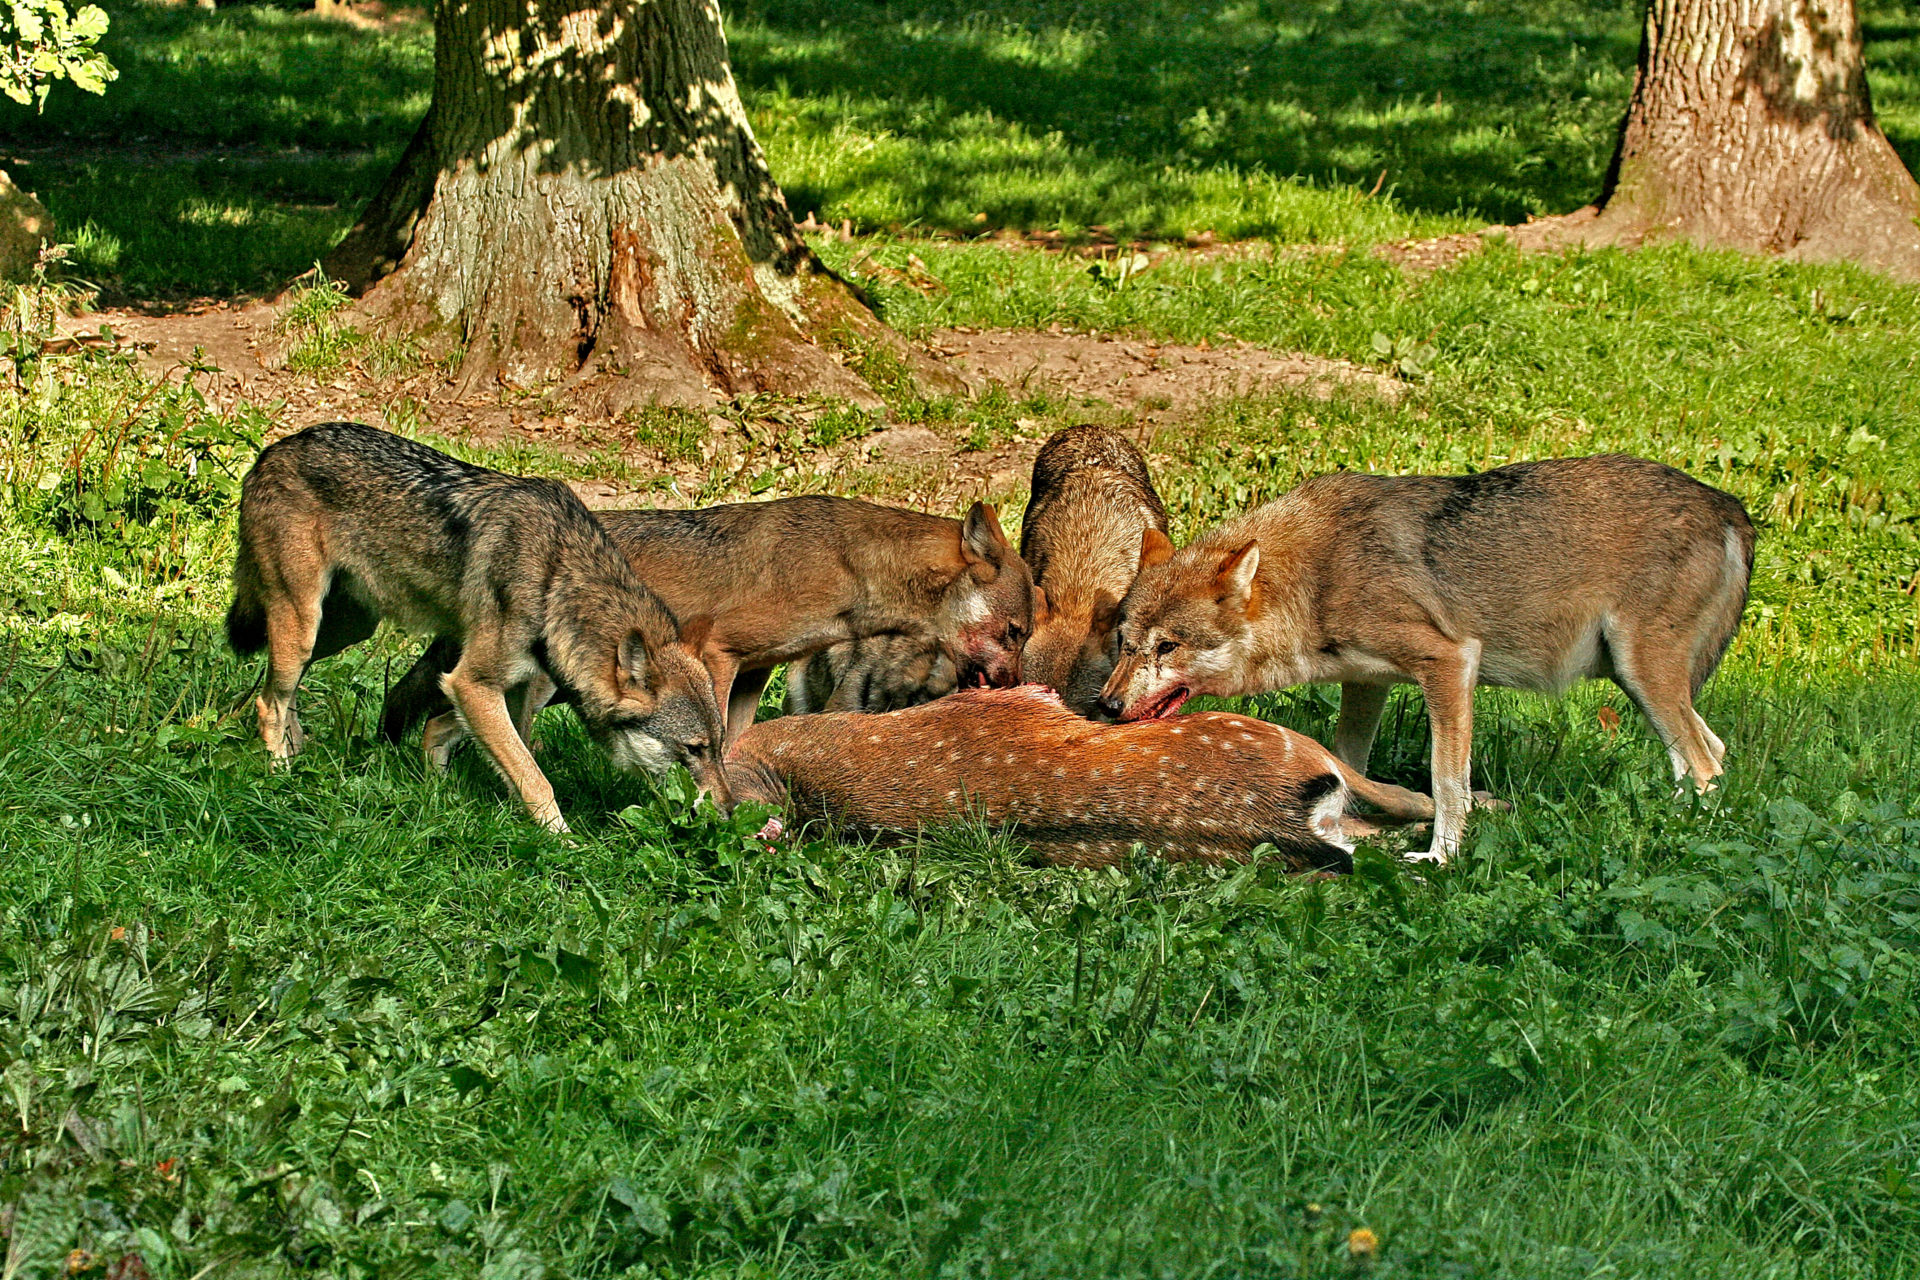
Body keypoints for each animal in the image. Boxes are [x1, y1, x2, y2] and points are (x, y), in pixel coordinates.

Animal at [224, 420, 729, 832]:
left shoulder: (512, 688)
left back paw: (295, 750)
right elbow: (535, 778)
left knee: (275, 694)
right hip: (303, 625)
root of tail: (271, 450)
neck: (556, 580)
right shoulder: (470, 682)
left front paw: (438, 792)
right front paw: (564, 842)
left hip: (342, 630)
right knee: (269, 702)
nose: (728, 811)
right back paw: (280, 775)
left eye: (719, 746)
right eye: (694, 749)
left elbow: (484, 745)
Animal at [385, 491, 1036, 752]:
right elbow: (719, 735)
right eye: (1015, 633)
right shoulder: (719, 656)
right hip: (541, 690)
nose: (1017, 686)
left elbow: (740, 737)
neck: (849, 565)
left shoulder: (754, 672)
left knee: (435, 724)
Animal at [1098, 454, 1758, 867]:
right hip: (1640, 682)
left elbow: (1447, 780)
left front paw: (1440, 857)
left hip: (1642, 674)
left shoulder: (1450, 662)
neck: (1315, 578)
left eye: (1167, 647)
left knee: (1704, 765)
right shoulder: (1368, 682)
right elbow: (1348, 763)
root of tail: (1729, 505)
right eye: (1124, 642)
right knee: (1712, 754)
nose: (1104, 705)